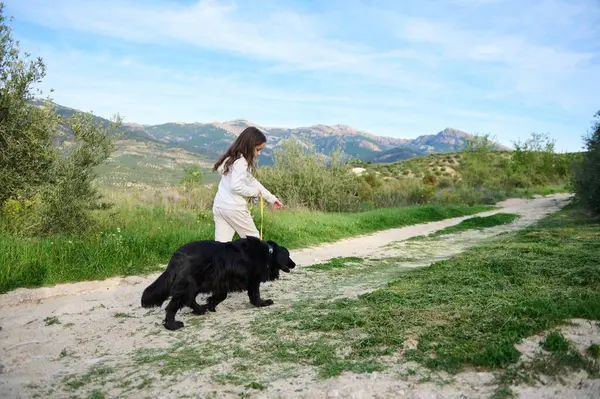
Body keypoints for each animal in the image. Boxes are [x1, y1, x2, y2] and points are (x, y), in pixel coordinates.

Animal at [141, 238, 296, 332]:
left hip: (195, 284)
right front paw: (263, 303)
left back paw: (200, 309)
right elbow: (254, 295)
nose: (294, 264)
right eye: (288, 256)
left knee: (190, 300)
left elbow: (220, 296)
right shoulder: (251, 281)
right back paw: (172, 325)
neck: (268, 253)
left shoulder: (221, 281)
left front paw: (210, 304)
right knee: (173, 306)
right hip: (189, 285)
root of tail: (177, 254)